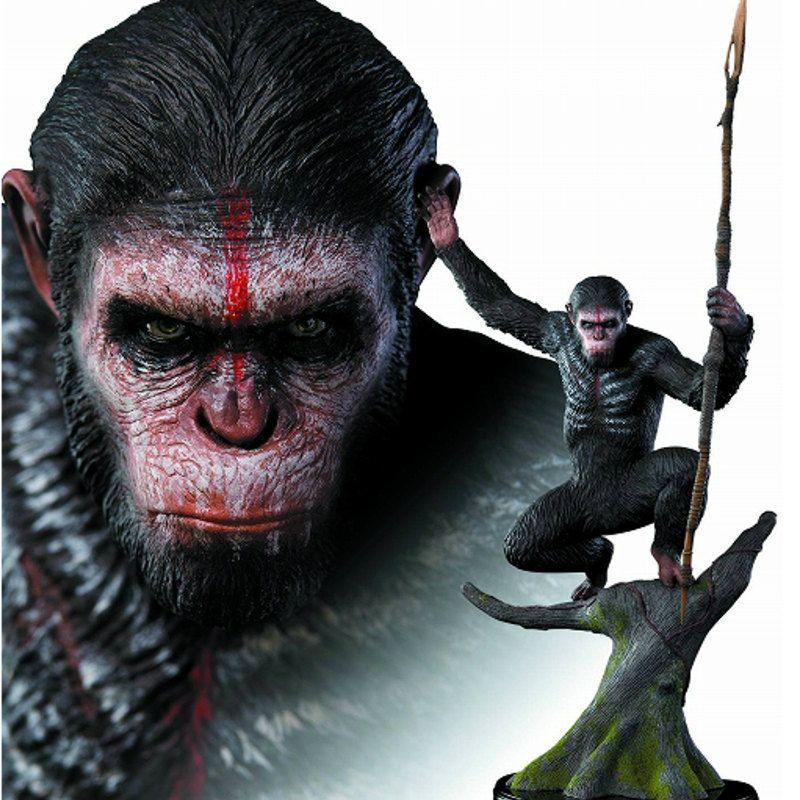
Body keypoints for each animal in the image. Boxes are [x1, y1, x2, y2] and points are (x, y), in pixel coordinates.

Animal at [420, 188, 753, 600]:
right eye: (587, 323)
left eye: (608, 323)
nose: (597, 336)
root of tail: (604, 517)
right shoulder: (552, 329)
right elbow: (498, 306)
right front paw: (444, 230)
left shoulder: (659, 352)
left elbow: (698, 393)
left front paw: (733, 321)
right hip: (571, 510)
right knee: (525, 543)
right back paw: (600, 558)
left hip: (628, 499)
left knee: (684, 466)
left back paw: (664, 555)